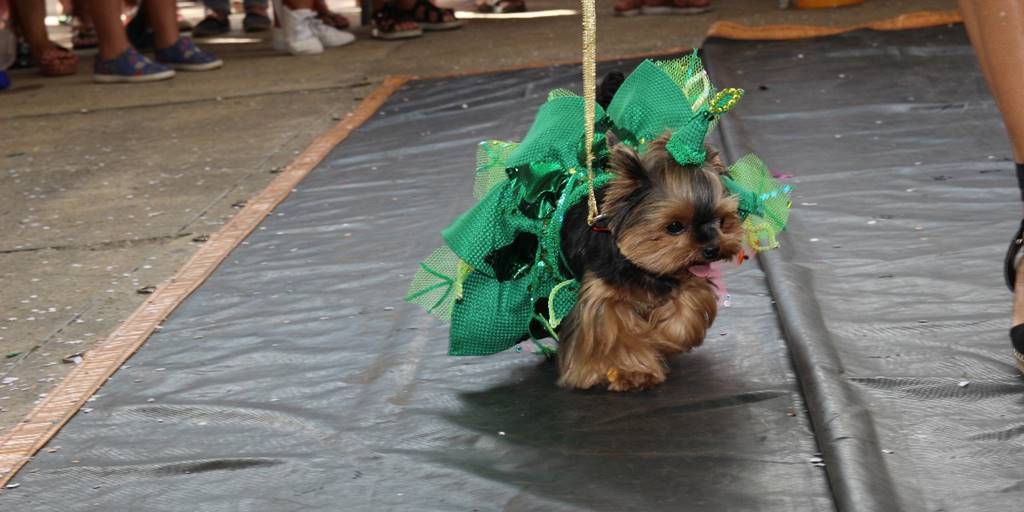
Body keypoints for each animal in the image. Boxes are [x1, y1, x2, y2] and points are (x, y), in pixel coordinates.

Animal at [561, 136, 745, 391]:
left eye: (721, 220)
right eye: (674, 226)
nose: (711, 249)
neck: (640, 269)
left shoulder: (682, 278)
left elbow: (688, 308)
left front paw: (661, 339)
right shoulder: (601, 293)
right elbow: (614, 331)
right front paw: (634, 372)